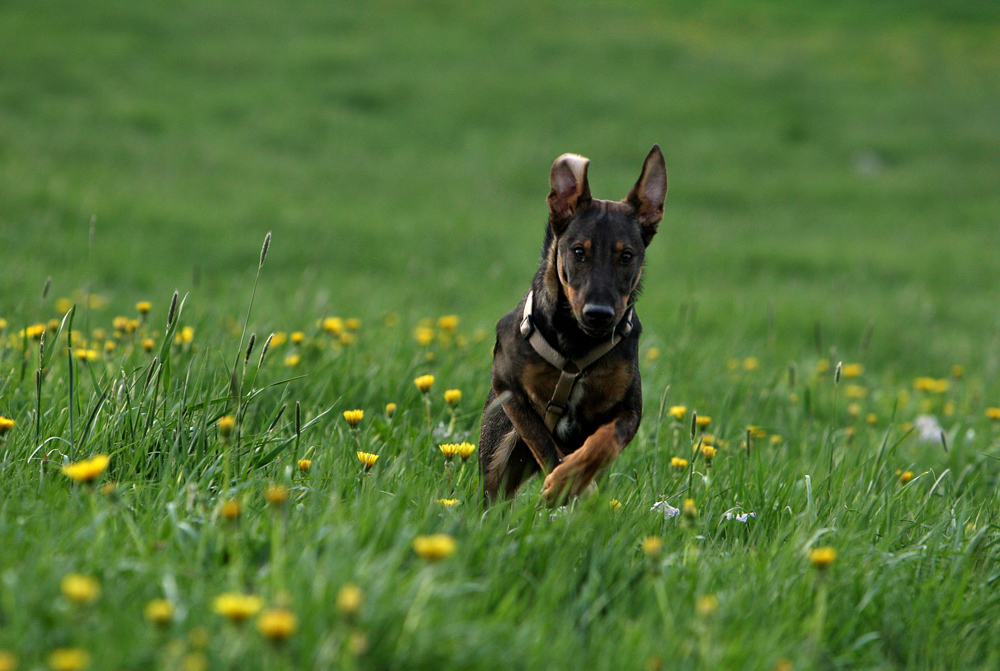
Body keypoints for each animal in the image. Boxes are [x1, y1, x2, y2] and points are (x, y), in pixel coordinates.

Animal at [480, 147, 668, 504]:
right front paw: (565, 482)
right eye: (579, 252)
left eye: (626, 256)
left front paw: (574, 480)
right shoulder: (508, 387)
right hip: (498, 449)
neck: (578, 340)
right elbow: (544, 441)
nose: (599, 313)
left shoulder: (629, 408)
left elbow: (605, 442)